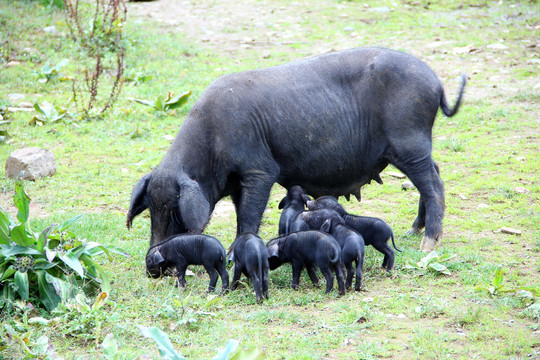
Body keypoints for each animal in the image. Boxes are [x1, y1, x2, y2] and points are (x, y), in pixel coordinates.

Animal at [126, 47, 464, 250]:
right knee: (434, 173)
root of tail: (436, 83)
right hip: (413, 147)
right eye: (151, 208)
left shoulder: (260, 169)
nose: (153, 259)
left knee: (434, 185)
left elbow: (249, 214)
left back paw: (427, 244)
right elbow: (240, 211)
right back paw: (412, 232)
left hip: (409, 141)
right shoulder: (236, 181)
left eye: (174, 210)